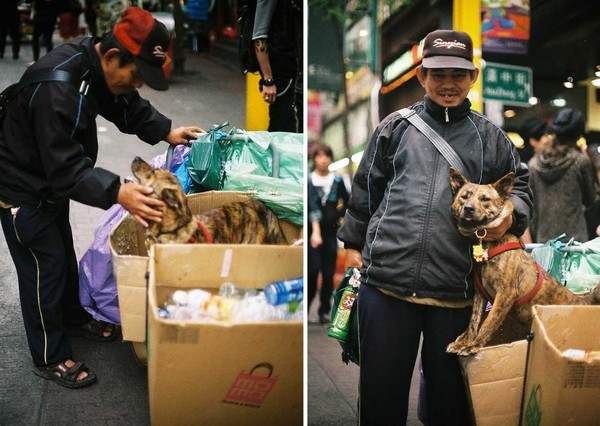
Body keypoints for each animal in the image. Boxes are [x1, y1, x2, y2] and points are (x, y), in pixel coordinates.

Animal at [446, 167, 600, 356]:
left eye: (485, 199)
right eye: (464, 196)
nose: (468, 208)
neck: (487, 242)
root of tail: (583, 302)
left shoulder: (505, 293)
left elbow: (488, 322)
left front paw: (473, 345)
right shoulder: (480, 293)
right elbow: (474, 321)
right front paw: (465, 341)